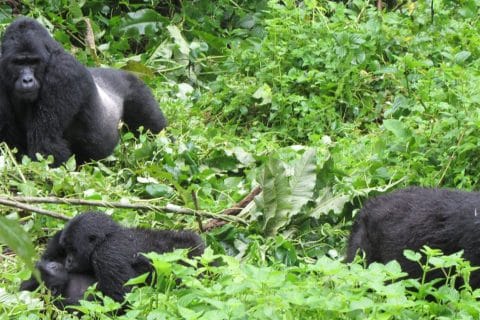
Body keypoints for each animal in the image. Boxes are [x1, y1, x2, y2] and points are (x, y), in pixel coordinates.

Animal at [0, 17, 167, 166]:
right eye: (18, 63)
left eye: (34, 62)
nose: (27, 80)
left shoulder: (63, 74)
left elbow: (46, 144)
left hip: (137, 87)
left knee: (155, 128)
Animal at [58, 212, 204, 302]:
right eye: (66, 249)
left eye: (72, 250)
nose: (67, 261)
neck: (106, 237)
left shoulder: (105, 256)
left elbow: (122, 298)